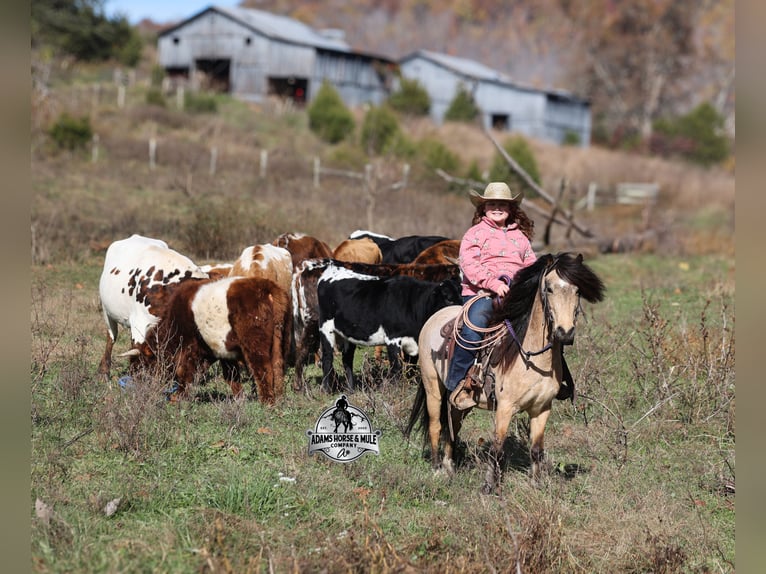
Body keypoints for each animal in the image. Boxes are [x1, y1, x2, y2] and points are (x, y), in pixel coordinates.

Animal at [405, 252, 605, 493]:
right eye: (549, 288)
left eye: (578, 291)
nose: (564, 333)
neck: (530, 357)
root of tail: (436, 317)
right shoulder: (505, 407)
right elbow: (497, 448)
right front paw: (490, 486)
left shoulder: (542, 408)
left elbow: (536, 449)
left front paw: (536, 484)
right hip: (432, 386)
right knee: (435, 425)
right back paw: (437, 470)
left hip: (460, 402)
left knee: (452, 424)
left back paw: (449, 466)